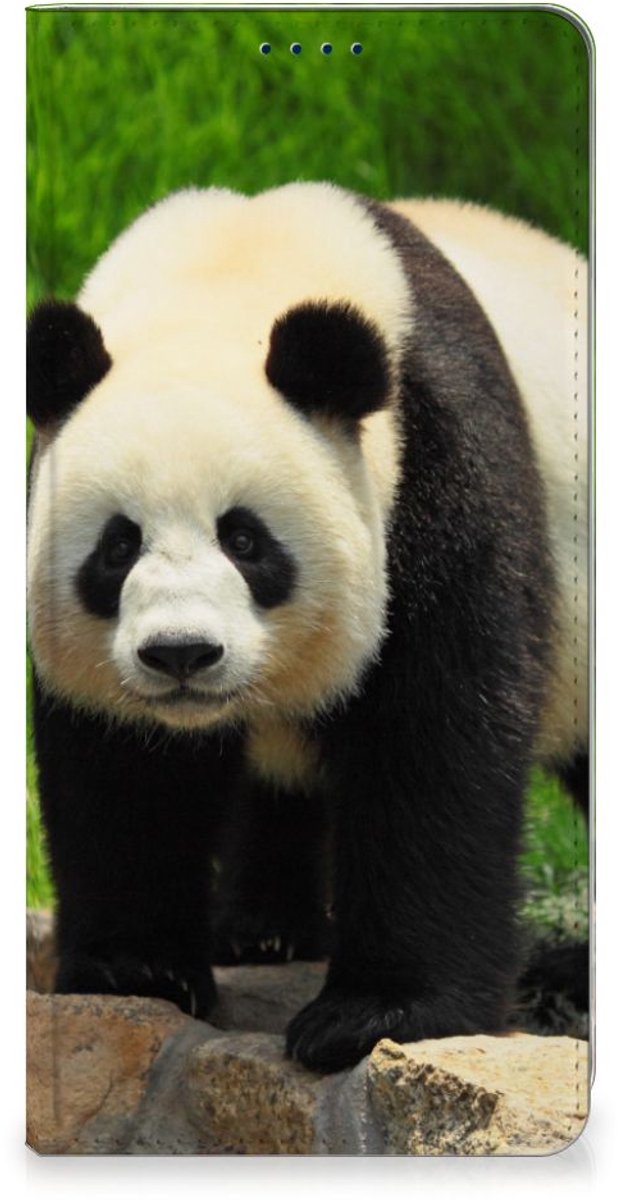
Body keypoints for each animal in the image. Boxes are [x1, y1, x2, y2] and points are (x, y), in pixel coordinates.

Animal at [27, 182, 588, 1073]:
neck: (230, 272)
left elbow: (433, 734)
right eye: (117, 546)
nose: (181, 654)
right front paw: (134, 969)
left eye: (245, 539)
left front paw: (376, 1014)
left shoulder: (438, 462)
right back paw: (261, 930)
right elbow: (124, 767)